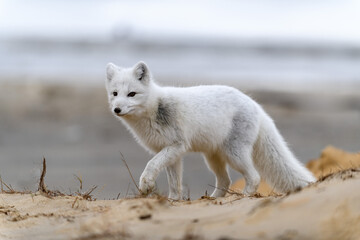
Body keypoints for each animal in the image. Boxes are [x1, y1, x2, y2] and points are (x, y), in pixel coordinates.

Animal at [105, 61, 316, 199]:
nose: (117, 109)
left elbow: (151, 164)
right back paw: (212, 199)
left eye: (132, 94)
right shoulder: (171, 153)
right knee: (225, 181)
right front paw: (172, 201)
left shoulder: (177, 146)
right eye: (114, 94)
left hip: (234, 155)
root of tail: (257, 106)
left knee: (254, 177)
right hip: (213, 158)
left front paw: (146, 184)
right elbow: (175, 183)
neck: (155, 109)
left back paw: (243, 196)